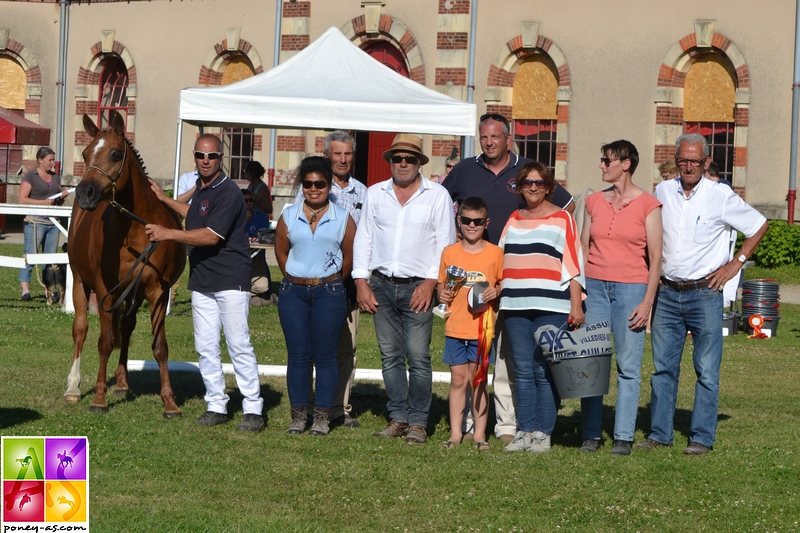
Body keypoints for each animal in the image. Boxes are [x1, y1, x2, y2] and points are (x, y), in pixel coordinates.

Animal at [63, 114, 186, 418]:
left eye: (116, 153)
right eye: (85, 154)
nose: (85, 193)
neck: (137, 231)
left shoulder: (158, 290)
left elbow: (160, 346)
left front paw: (170, 403)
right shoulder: (104, 289)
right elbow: (105, 341)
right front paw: (98, 399)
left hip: (133, 291)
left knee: (127, 328)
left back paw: (121, 383)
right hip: (81, 283)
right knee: (80, 329)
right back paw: (73, 388)